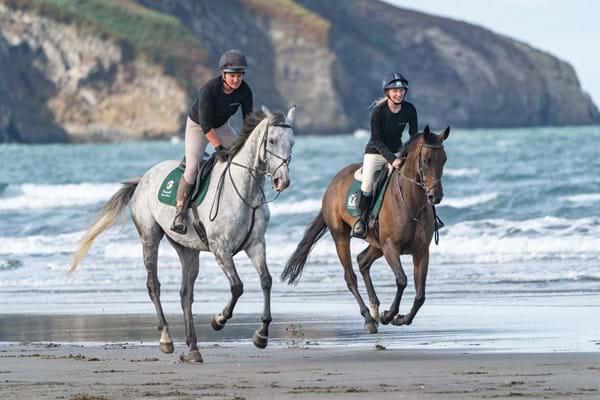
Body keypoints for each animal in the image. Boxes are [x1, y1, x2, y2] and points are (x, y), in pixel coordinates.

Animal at [71, 105, 296, 362]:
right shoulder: (220, 248)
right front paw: (218, 320)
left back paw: (193, 348)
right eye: (271, 140)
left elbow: (266, 280)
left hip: (187, 249)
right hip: (149, 237)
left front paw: (261, 335)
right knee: (154, 285)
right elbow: (237, 286)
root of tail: (143, 179)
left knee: (185, 294)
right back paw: (166, 339)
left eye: (292, 142)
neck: (244, 191)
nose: (282, 181)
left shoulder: (256, 244)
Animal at [284, 126, 448, 332]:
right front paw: (389, 315)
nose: (436, 196)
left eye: (444, 159)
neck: (411, 202)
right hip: (341, 237)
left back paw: (374, 310)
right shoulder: (390, 247)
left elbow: (420, 295)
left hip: (376, 244)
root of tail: (333, 182)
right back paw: (369, 318)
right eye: (426, 160)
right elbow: (402, 280)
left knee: (362, 261)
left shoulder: (421, 251)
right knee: (350, 277)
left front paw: (401, 318)